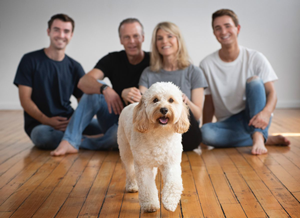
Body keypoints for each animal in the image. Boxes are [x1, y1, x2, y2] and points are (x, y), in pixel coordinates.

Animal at [118, 82, 190, 213]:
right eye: (155, 100)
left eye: (171, 100)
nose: (164, 109)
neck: (160, 132)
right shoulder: (143, 166)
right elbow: (147, 186)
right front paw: (150, 204)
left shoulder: (171, 163)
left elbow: (174, 183)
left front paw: (170, 202)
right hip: (125, 151)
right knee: (130, 171)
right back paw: (132, 186)